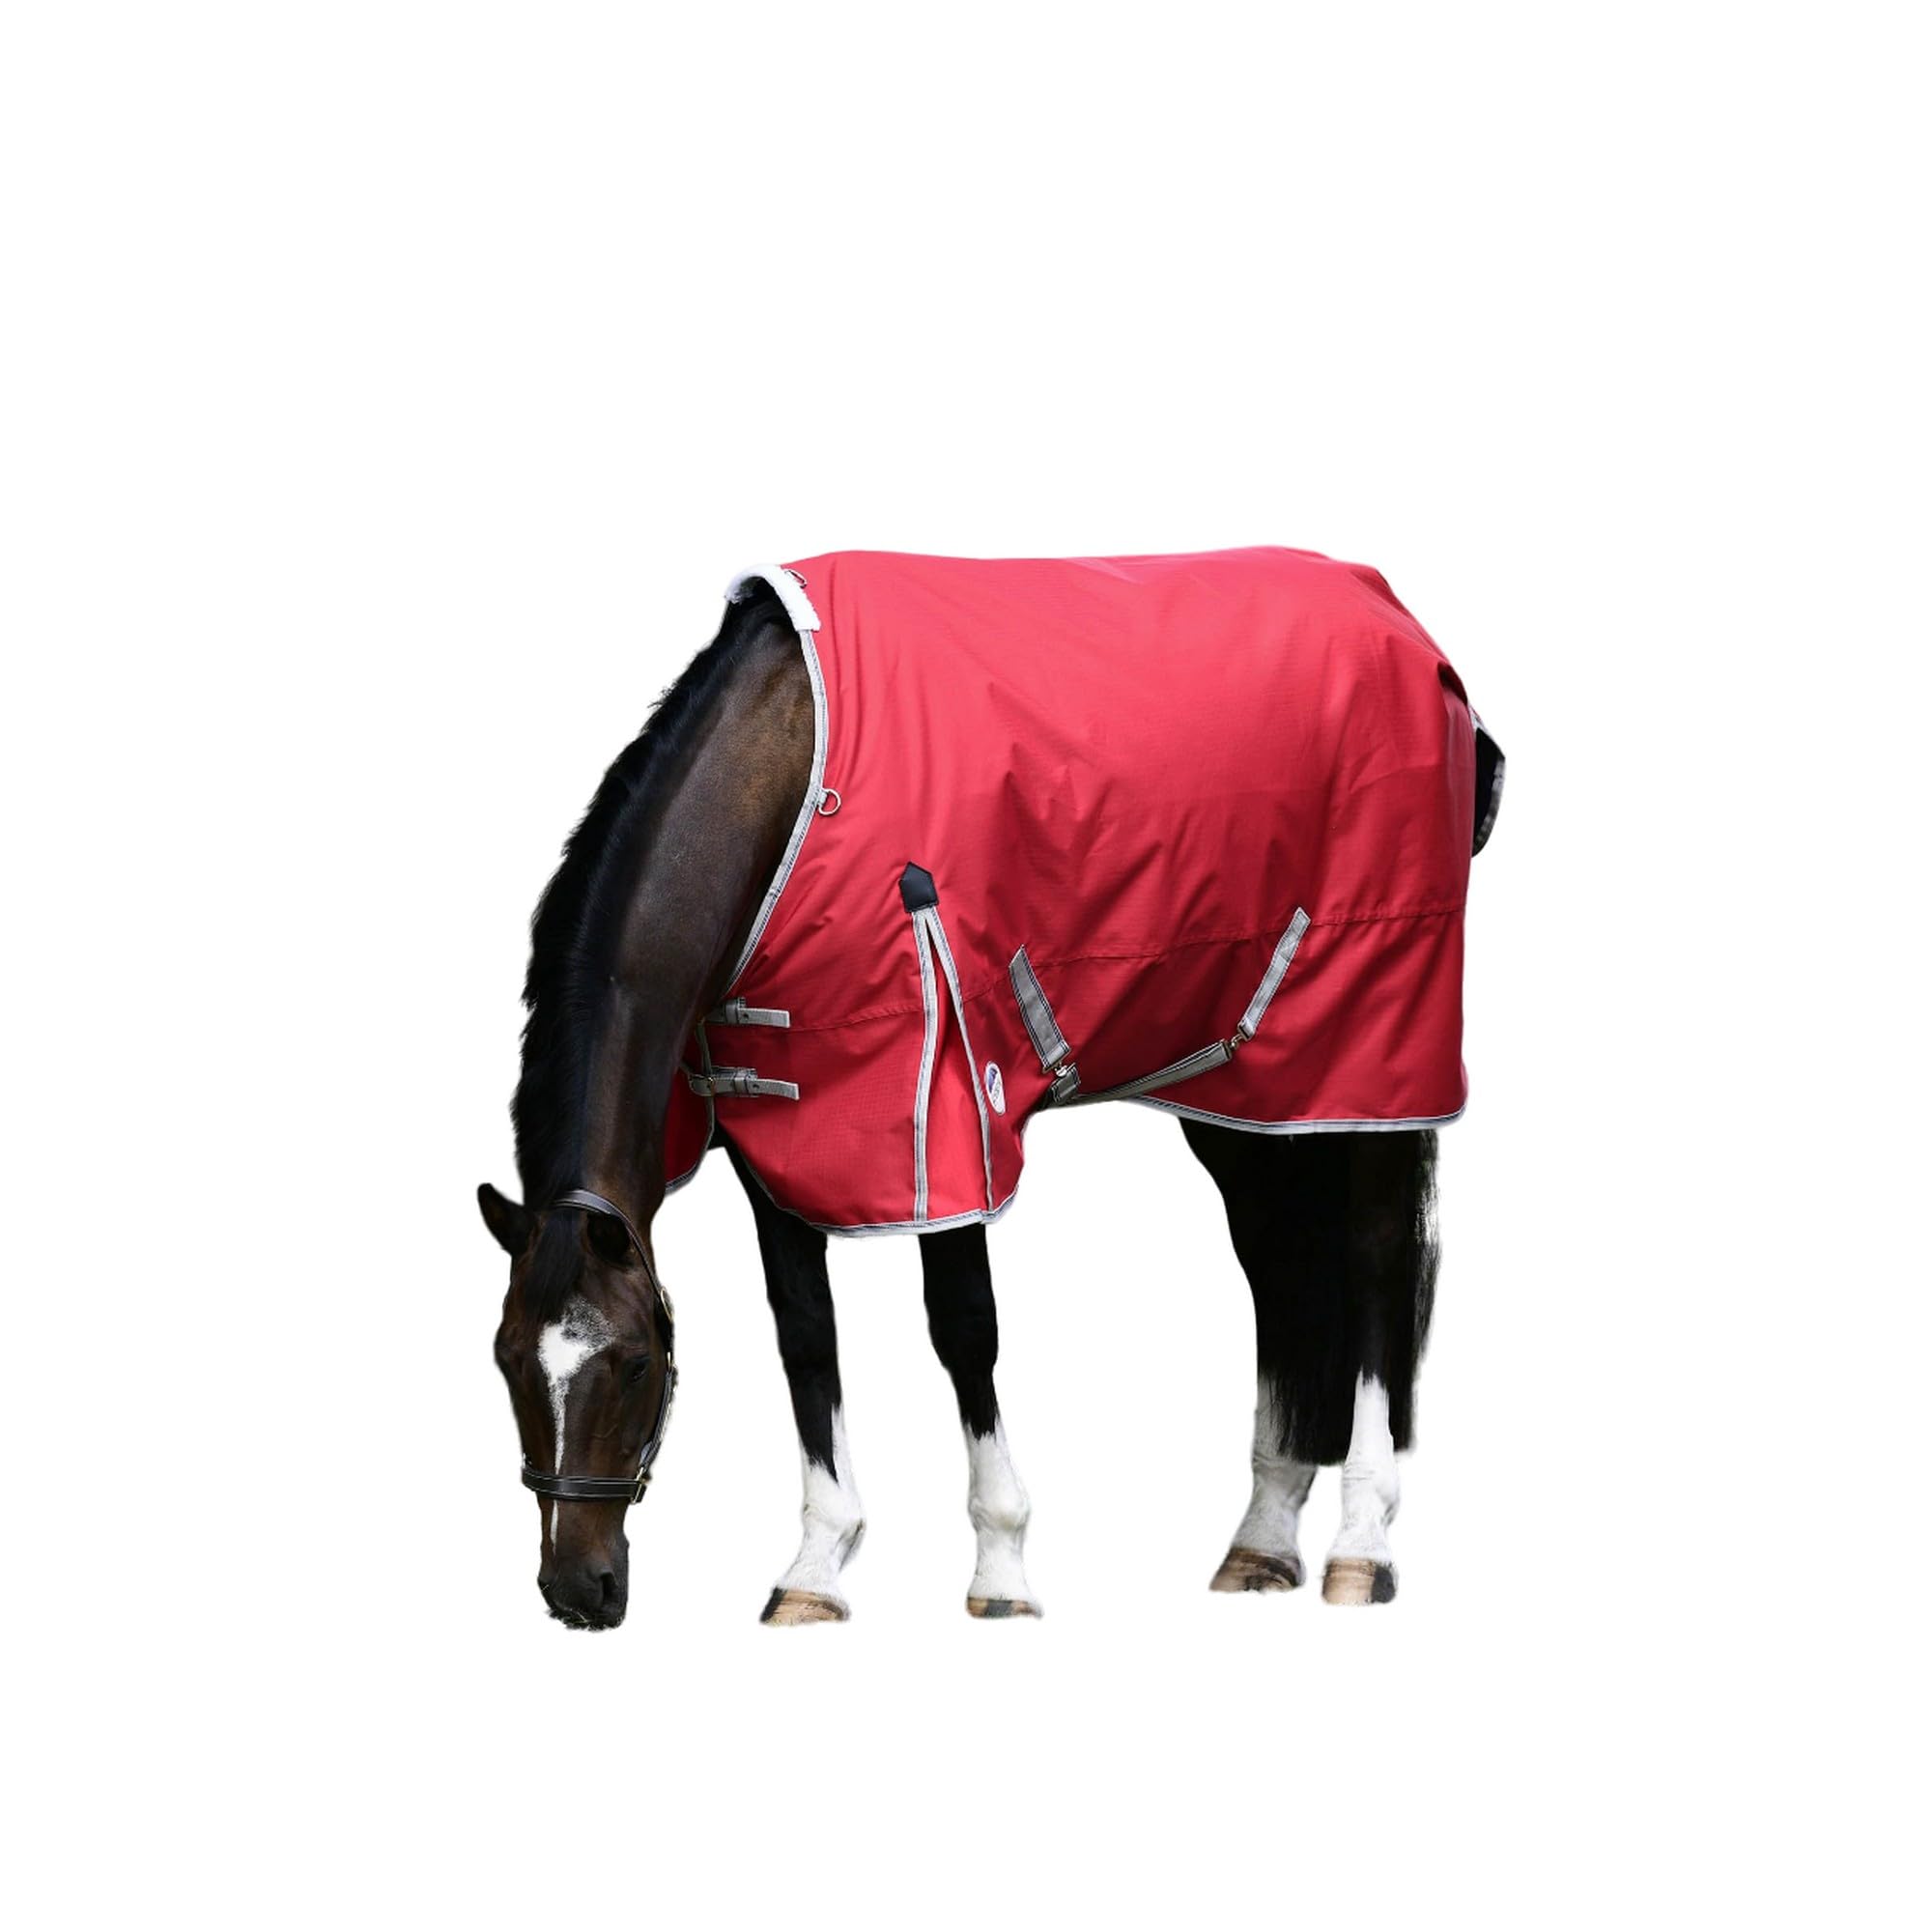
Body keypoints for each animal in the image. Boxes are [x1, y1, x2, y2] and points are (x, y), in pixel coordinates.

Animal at [479, 552, 1497, 1629]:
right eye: (505, 1358)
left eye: (634, 1362)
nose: (576, 1589)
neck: (787, 774)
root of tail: (1399, 620)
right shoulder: (778, 1127)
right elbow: (804, 1333)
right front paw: (815, 1566)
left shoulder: (945, 1109)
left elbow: (965, 1325)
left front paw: (1001, 1565)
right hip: (1251, 1078)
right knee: (1274, 1261)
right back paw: (1259, 1539)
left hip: (1373, 1052)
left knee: (1377, 1256)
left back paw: (1362, 1545)